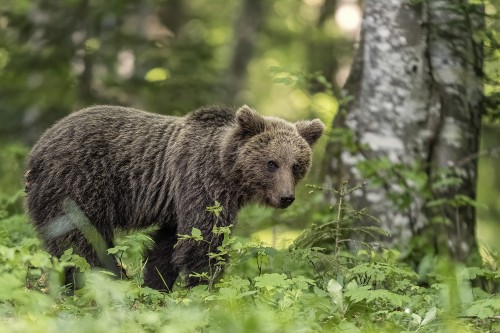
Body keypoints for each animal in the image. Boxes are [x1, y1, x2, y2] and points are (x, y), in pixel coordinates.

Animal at [25, 105, 324, 290]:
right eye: (272, 163)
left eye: (296, 165)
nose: (286, 197)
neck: (227, 170)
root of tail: (36, 149)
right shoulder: (199, 181)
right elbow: (204, 242)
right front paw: (205, 288)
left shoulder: (176, 204)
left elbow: (167, 247)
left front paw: (156, 286)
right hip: (77, 184)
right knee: (81, 241)